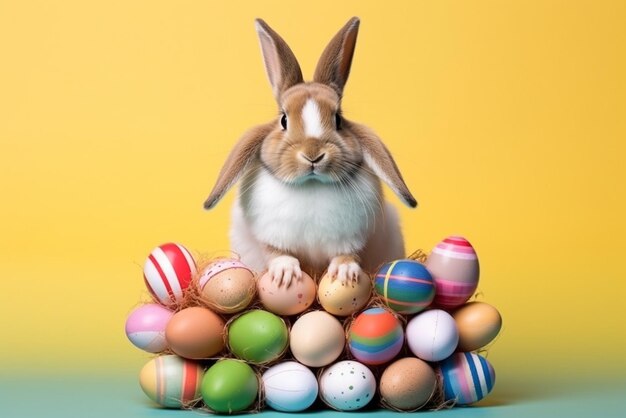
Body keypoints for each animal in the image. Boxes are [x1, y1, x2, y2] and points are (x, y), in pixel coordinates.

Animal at [204, 15, 414, 284]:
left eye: (338, 120)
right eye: (284, 120)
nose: (313, 155)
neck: (311, 185)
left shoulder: (352, 239)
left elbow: (348, 255)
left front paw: (345, 273)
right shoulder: (270, 237)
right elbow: (277, 253)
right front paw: (285, 274)